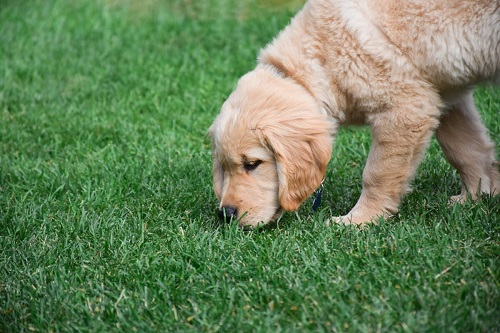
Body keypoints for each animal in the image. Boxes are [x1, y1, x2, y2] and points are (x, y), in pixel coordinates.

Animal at [209, 0, 500, 227]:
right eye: (224, 166)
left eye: (252, 164)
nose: (227, 215)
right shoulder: (443, 94)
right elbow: (466, 149)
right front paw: (477, 196)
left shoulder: (406, 106)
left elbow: (377, 173)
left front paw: (359, 220)